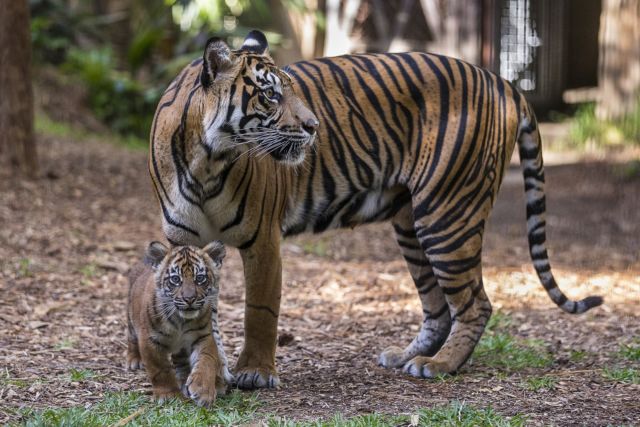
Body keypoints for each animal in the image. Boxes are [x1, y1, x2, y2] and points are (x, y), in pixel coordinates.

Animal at [149, 31, 600, 390]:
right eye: (271, 94)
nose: (314, 127)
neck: (207, 160)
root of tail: (502, 81)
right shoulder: (184, 242)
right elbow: (196, 309)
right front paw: (201, 368)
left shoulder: (262, 239)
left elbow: (259, 311)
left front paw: (254, 373)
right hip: (411, 225)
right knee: (438, 307)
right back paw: (405, 357)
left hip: (447, 214)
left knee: (476, 304)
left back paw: (439, 365)